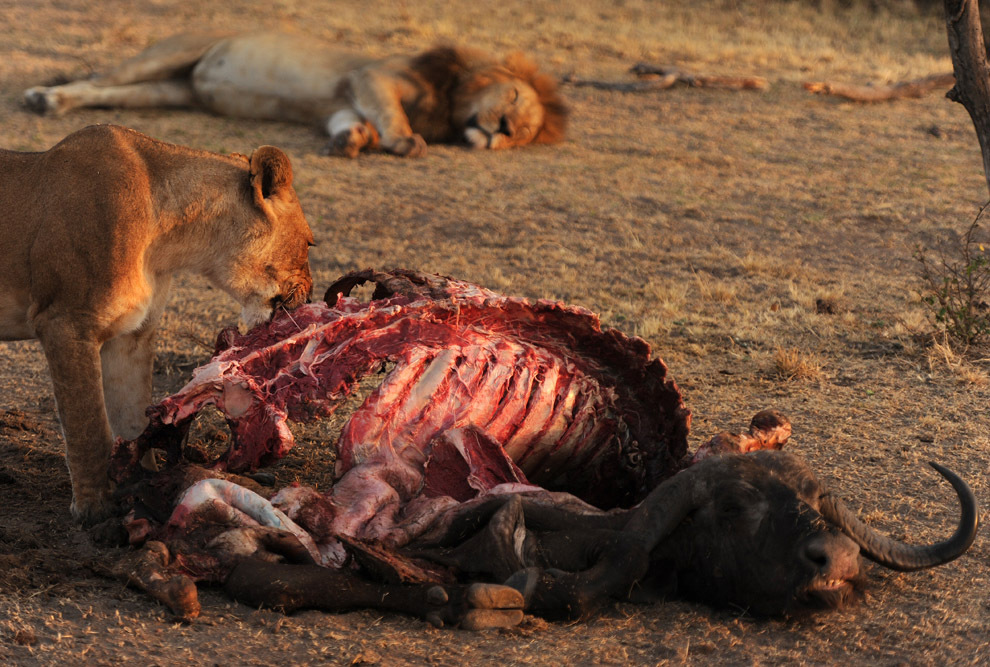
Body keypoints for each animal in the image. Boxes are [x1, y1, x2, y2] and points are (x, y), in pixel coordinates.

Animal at [0, 122, 314, 524]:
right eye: (309, 243)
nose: (312, 295)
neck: (168, 243)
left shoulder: (132, 335)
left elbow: (134, 417)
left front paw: (143, 485)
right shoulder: (65, 323)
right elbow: (89, 427)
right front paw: (97, 512)